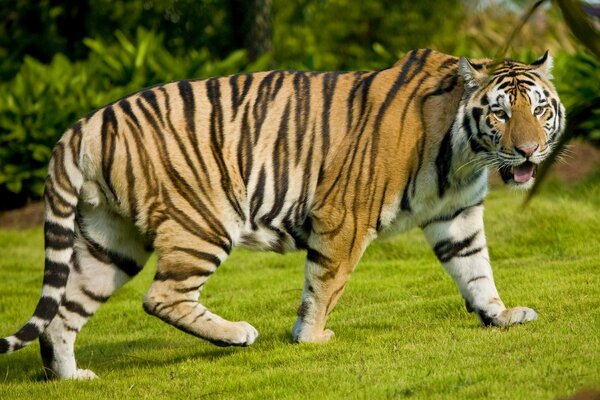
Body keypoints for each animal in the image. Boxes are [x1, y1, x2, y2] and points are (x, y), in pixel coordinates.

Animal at [0, 48, 564, 380]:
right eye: (500, 113)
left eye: (538, 109)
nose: (529, 151)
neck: (465, 154)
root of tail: (85, 123)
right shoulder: (345, 216)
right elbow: (325, 284)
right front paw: (310, 338)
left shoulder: (458, 215)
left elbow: (477, 270)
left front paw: (500, 315)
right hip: (203, 222)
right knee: (161, 296)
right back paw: (237, 334)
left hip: (109, 240)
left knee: (64, 313)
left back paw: (71, 377)